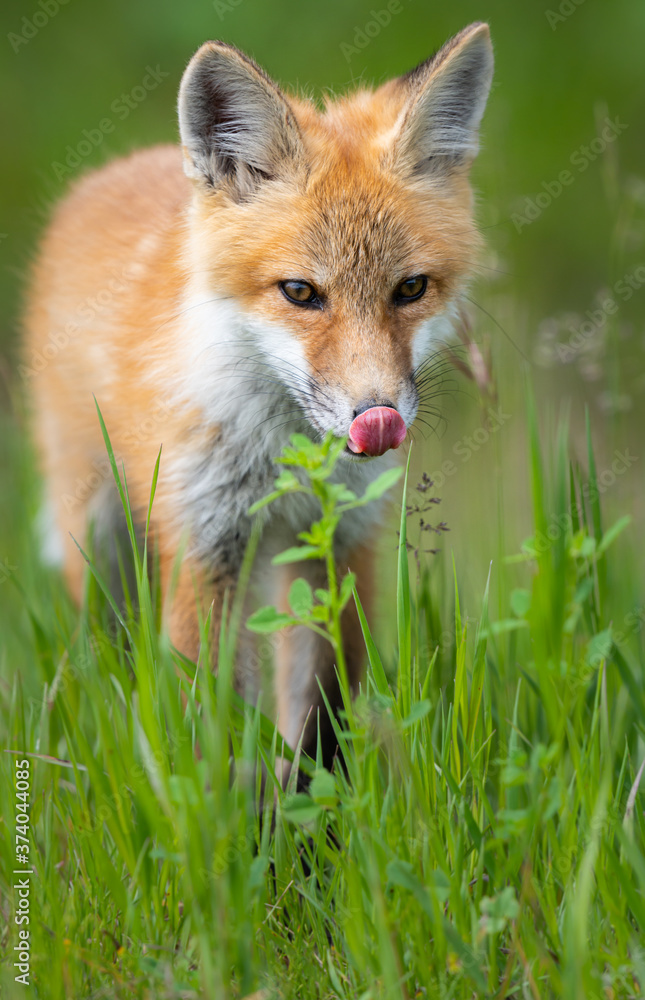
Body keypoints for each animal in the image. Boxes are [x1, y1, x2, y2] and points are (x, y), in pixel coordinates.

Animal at [24, 23, 493, 767]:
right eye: (300, 292)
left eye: (411, 289)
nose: (378, 418)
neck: (281, 457)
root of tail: (117, 167)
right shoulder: (204, 544)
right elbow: (214, 728)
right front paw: (221, 802)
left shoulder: (338, 541)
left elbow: (322, 712)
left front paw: (315, 801)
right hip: (96, 534)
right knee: (111, 656)